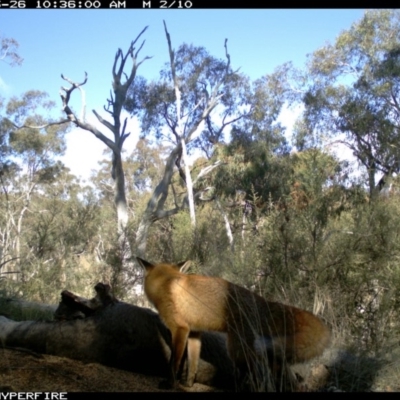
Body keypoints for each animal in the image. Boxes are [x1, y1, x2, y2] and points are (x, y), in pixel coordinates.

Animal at [138, 258, 332, 392]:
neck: (167, 283)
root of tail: (262, 300)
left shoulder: (180, 329)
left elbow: (174, 362)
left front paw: (170, 383)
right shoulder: (194, 333)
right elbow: (192, 363)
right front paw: (188, 383)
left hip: (238, 352)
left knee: (263, 375)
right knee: (283, 373)